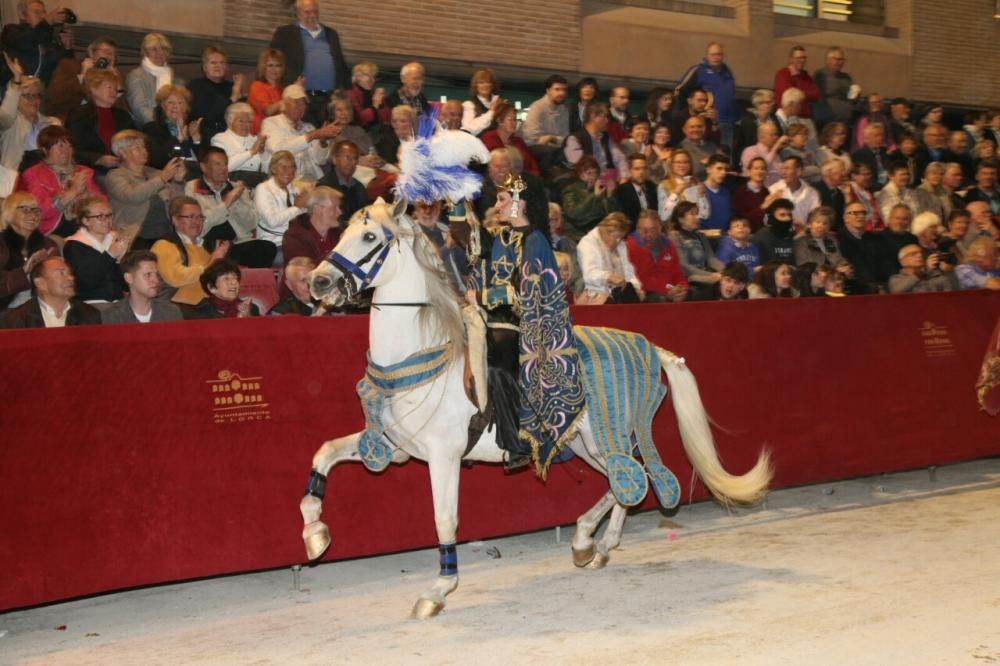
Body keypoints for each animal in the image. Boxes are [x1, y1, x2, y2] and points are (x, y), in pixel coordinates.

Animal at [300, 197, 768, 616]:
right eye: (341, 231)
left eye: (369, 236)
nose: (318, 283)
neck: (419, 356)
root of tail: (649, 346)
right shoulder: (395, 448)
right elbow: (323, 453)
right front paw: (315, 533)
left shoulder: (443, 456)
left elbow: (444, 519)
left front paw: (437, 591)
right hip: (583, 442)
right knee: (624, 478)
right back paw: (596, 546)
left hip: (602, 436)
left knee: (633, 475)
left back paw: (587, 540)